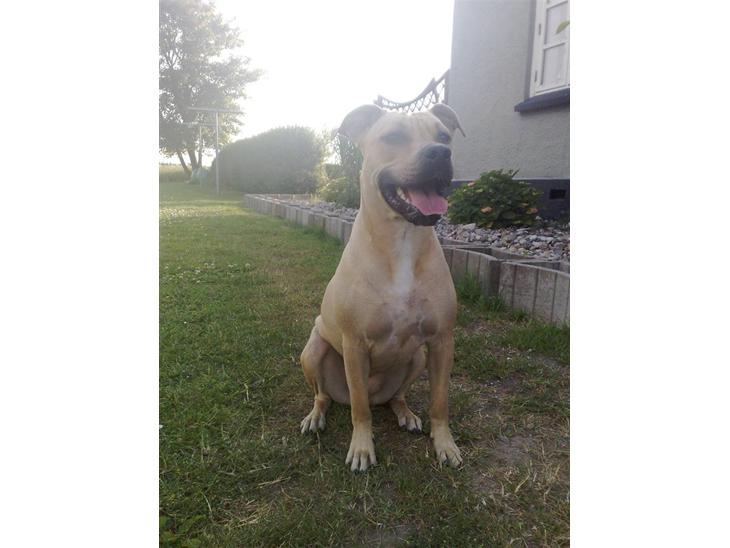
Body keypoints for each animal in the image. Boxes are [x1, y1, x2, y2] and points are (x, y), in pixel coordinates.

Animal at [299, 103, 465, 472]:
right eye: (394, 137)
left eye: (444, 136)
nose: (440, 153)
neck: (402, 241)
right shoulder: (354, 344)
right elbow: (360, 410)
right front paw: (362, 448)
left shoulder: (442, 340)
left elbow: (441, 402)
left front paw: (444, 443)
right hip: (314, 351)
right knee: (326, 395)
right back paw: (316, 416)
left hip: (416, 357)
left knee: (397, 395)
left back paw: (405, 413)